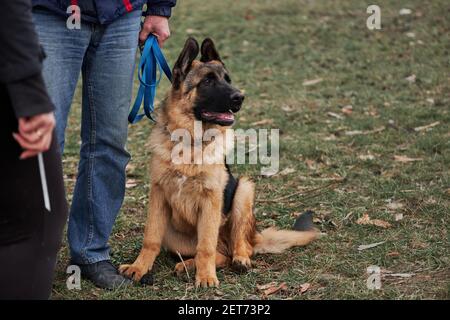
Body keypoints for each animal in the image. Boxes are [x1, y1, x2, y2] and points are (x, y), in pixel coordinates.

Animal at [119, 37, 316, 288]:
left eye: (227, 80)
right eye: (207, 81)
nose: (240, 97)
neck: (191, 144)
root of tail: (256, 236)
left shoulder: (211, 200)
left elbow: (206, 247)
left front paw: (205, 276)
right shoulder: (158, 195)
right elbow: (150, 238)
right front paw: (139, 267)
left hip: (244, 190)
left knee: (235, 247)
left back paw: (236, 259)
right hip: (174, 236)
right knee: (219, 252)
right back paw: (187, 265)